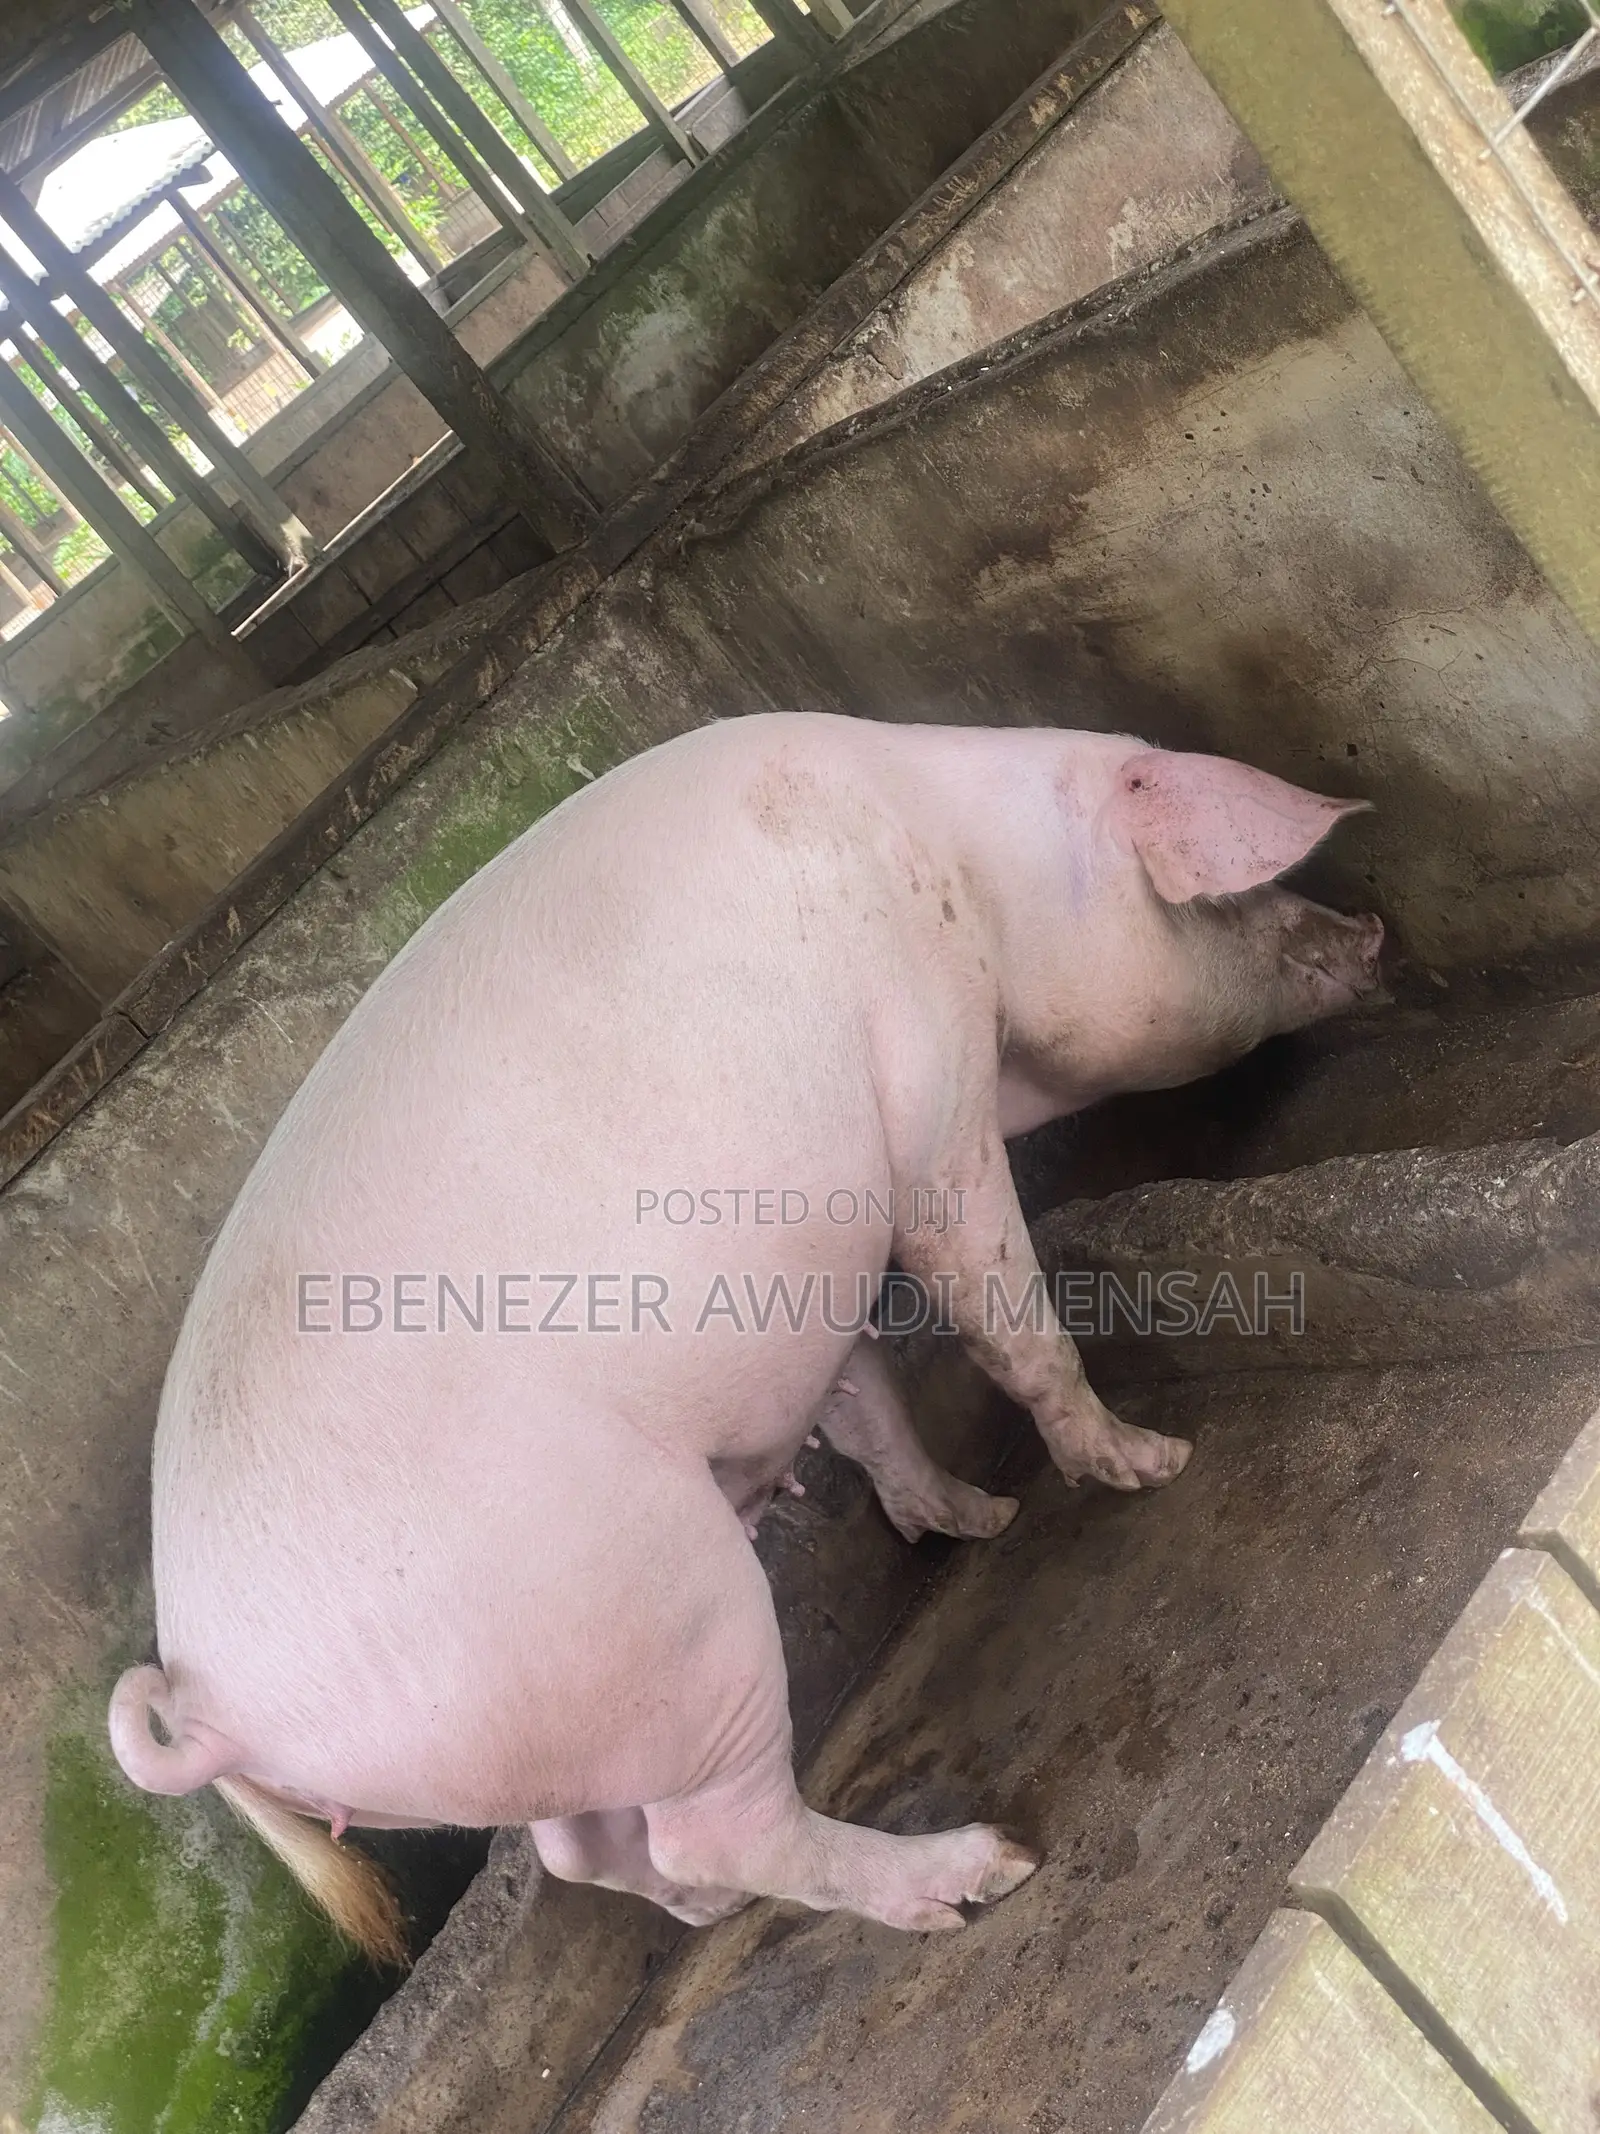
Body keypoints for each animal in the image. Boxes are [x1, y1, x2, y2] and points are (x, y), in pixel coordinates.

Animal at [109, 714, 1384, 1956]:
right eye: (1218, 893)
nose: (1371, 932)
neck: (966, 861)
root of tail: (216, 1702)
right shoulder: (929, 1088)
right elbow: (998, 1305)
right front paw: (1148, 1462)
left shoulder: (811, 1275)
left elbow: (865, 1394)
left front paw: (980, 1517)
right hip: (664, 1611)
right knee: (717, 1830)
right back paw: (980, 1869)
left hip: (563, 1703)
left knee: (584, 1849)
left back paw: (715, 1909)